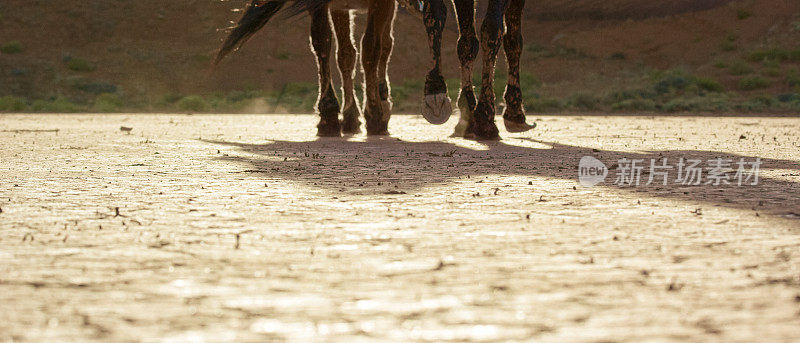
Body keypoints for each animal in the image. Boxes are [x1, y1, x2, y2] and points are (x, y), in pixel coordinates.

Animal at [212, 0, 424, 137]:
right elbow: (327, 44)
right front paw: (331, 114)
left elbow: (374, 48)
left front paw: (375, 110)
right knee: (347, 52)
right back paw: (352, 115)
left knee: (375, 47)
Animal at [418, 0, 536, 141]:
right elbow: (506, 37)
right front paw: (496, 115)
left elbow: (468, 42)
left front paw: (469, 115)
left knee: (434, 14)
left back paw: (435, 92)